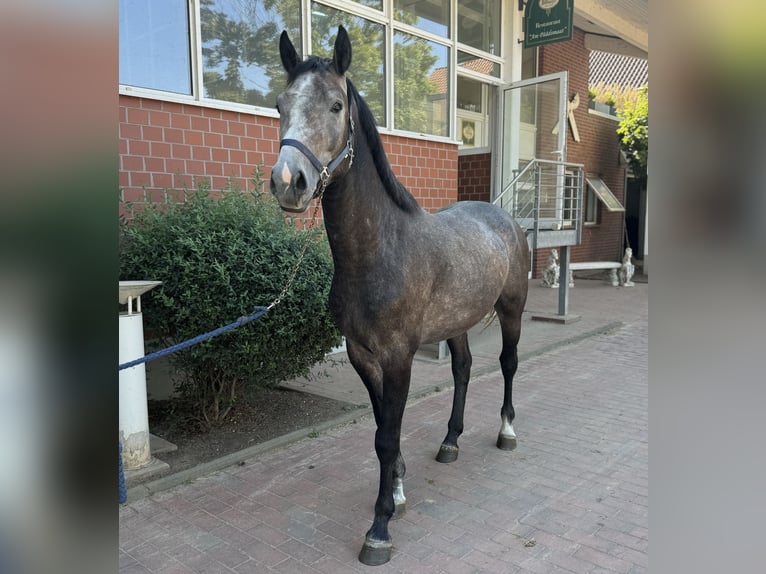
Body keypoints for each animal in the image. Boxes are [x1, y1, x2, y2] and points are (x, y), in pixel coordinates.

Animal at [268, 25, 528, 568]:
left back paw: (507, 432)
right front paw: (398, 493)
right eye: (280, 104)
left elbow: (388, 435)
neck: (380, 250)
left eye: (335, 105)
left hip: (512, 311)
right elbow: (380, 433)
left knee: (509, 365)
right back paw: (450, 442)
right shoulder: (362, 357)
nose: (288, 182)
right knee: (463, 369)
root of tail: (503, 218)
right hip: (456, 323)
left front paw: (380, 528)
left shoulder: (398, 358)